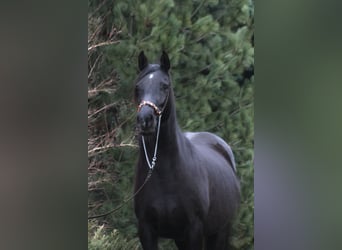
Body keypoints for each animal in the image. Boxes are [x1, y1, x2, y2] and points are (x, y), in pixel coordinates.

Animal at [134, 51, 240, 250]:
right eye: (138, 87)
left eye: (165, 86)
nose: (145, 120)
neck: (164, 174)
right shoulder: (146, 230)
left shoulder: (193, 229)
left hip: (220, 231)